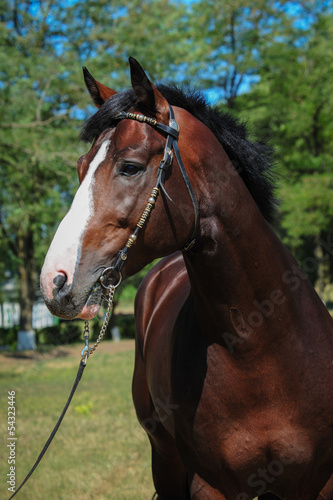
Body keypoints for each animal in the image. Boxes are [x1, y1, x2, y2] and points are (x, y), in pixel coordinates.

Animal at [40, 56, 332, 498]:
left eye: (130, 167)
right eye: (79, 167)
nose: (54, 281)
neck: (261, 345)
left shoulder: (317, 484)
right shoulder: (210, 485)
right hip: (164, 455)